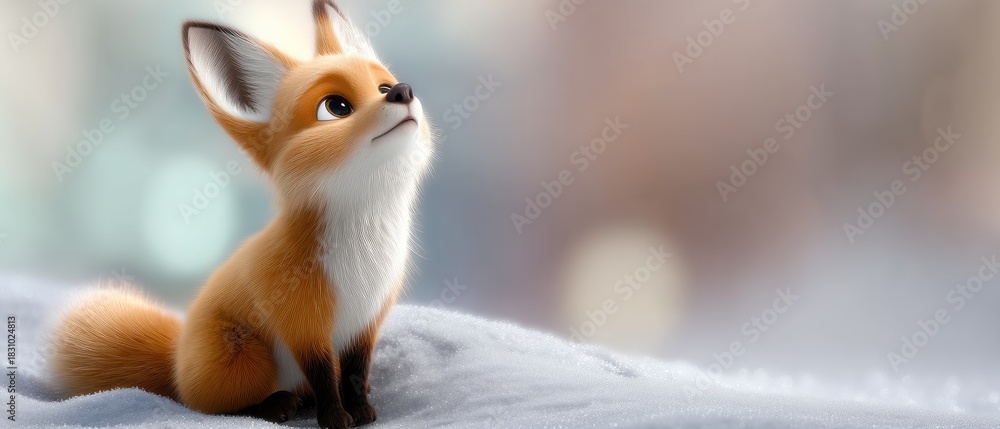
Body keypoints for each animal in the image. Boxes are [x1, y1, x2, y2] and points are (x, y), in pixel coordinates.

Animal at [48, 1, 433, 428]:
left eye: (382, 87)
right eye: (335, 108)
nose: (402, 91)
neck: (365, 248)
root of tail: (176, 361)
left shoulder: (367, 322)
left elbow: (353, 373)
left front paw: (362, 409)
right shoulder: (304, 326)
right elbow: (325, 378)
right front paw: (335, 417)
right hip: (242, 352)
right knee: (214, 406)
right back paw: (276, 405)